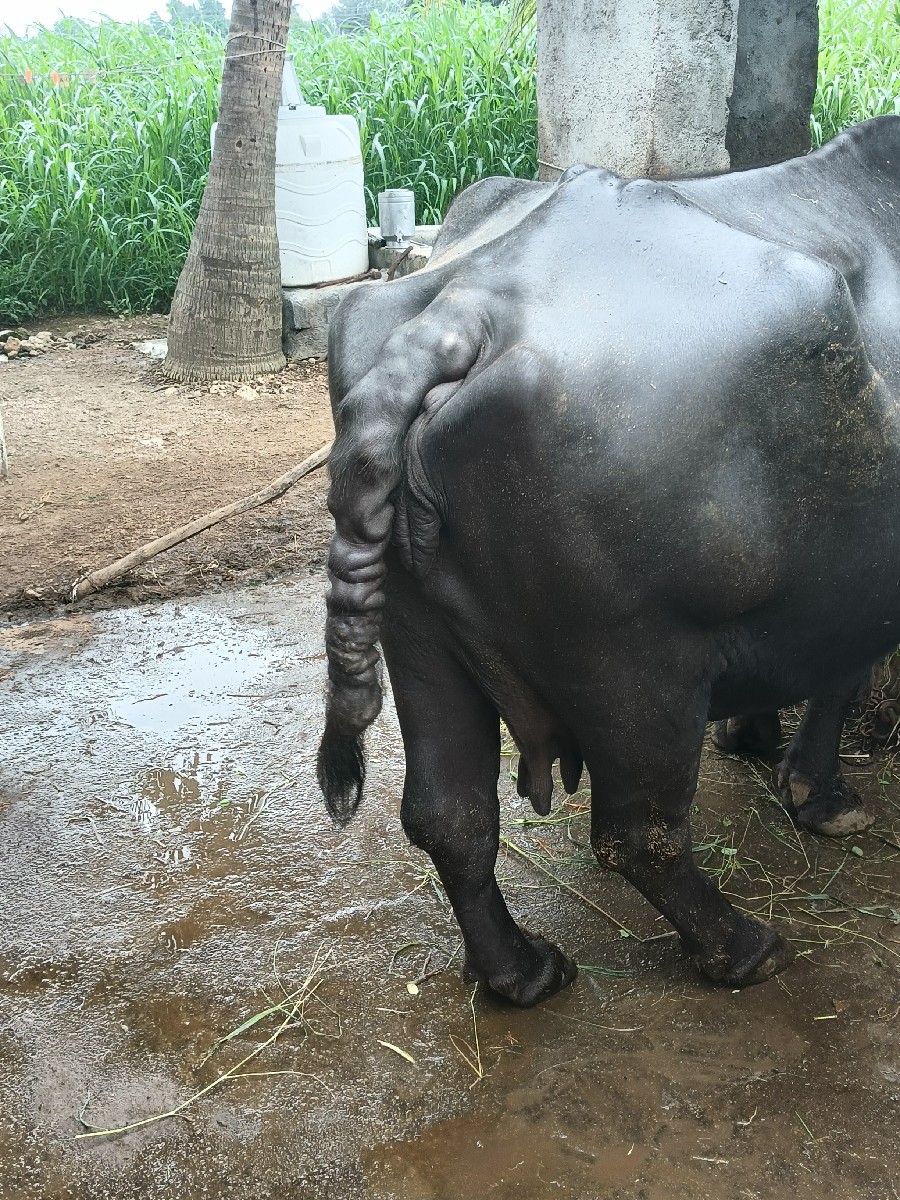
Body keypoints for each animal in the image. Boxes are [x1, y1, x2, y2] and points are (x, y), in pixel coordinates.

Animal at [317, 116, 900, 1007]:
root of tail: (465, 310)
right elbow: (844, 673)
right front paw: (823, 797)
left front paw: (754, 737)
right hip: (633, 660)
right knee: (639, 834)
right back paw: (744, 947)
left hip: (418, 637)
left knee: (450, 818)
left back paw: (522, 971)